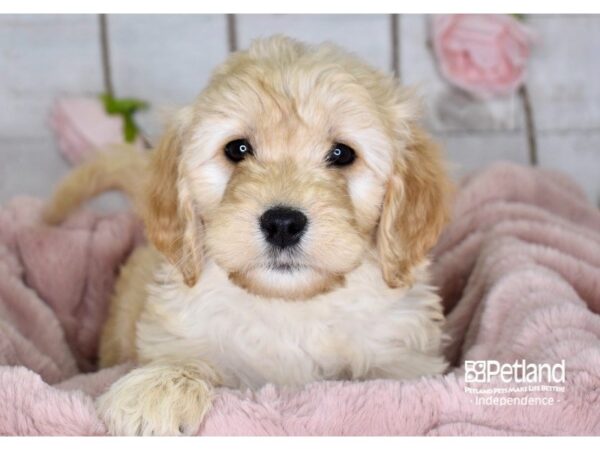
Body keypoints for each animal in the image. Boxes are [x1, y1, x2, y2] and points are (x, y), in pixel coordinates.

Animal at [44, 36, 452, 436]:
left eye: (342, 154)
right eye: (238, 149)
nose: (282, 224)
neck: (290, 306)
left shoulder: (404, 356)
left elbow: (386, 381)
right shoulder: (179, 328)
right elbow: (189, 355)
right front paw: (157, 389)